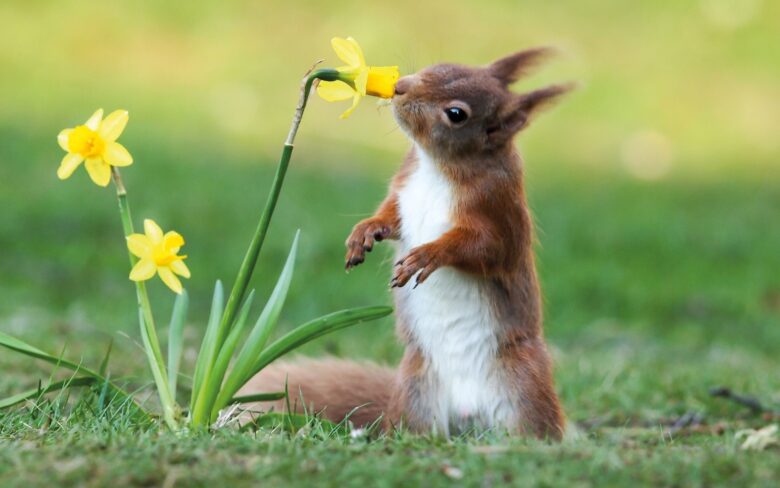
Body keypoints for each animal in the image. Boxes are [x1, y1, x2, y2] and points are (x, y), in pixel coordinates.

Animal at [240, 47, 573, 439]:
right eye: (435, 67)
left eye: (456, 114)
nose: (400, 87)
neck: (436, 166)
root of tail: (468, 419)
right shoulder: (404, 188)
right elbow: (392, 220)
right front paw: (364, 232)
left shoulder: (498, 209)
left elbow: (485, 248)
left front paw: (427, 255)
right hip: (416, 393)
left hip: (524, 388)